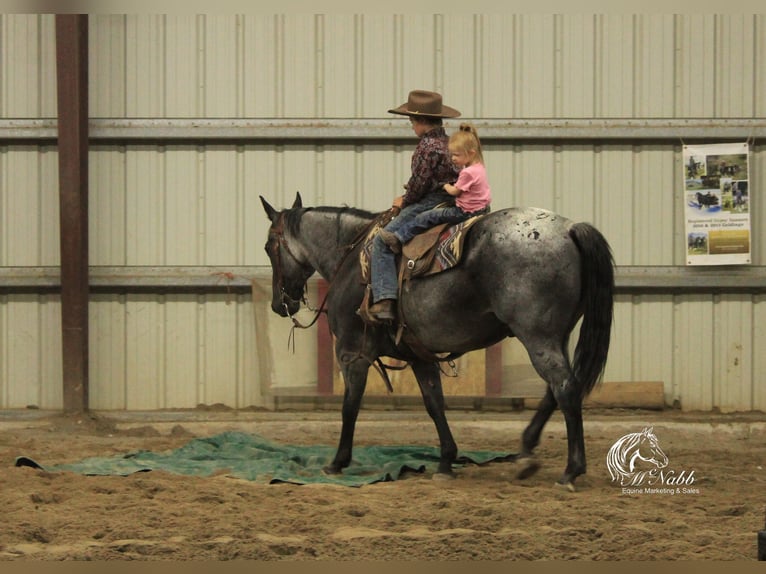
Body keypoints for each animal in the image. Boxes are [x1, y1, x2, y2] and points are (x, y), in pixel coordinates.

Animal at [260, 196, 616, 492]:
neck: (351, 260)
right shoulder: (420, 356)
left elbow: (350, 406)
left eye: (268, 247)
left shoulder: (352, 353)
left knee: (565, 388)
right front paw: (446, 461)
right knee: (554, 390)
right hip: (556, 336)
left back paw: (570, 471)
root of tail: (569, 228)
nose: (279, 304)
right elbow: (434, 405)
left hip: (538, 336)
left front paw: (337, 462)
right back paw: (526, 452)